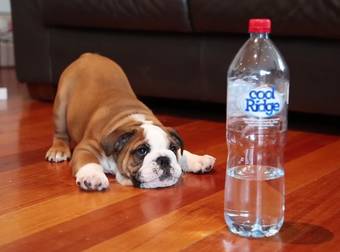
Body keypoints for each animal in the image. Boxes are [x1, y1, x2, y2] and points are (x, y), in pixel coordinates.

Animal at [45, 53, 215, 191]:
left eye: (173, 148)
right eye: (142, 151)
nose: (164, 159)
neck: (129, 121)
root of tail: (89, 55)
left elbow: (183, 154)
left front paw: (198, 160)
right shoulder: (86, 147)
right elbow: (89, 162)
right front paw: (93, 176)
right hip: (61, 104)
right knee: (60, 133)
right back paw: (58, 150)